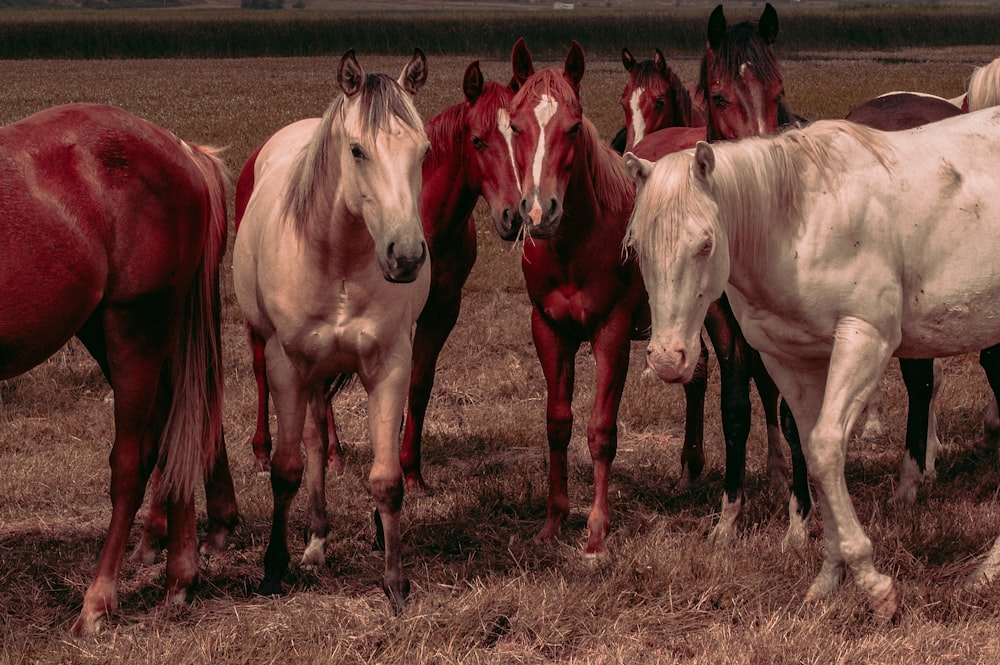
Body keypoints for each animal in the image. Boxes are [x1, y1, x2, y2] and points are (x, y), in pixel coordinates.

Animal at [0, 102, 229, 632]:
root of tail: (181, 150)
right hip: (107, 332)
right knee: (172, 435)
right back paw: (179, 578)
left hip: (135, 327)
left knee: (132, 461)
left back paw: (98, 601)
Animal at [232, 50, 432, 612]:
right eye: (358, 149)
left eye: (424, 151)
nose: (406, 256)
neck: (338, 256)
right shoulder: (287, 365)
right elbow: (287, 469)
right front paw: (273, 569)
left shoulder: (390, 365)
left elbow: (386, 480)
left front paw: (395, 583)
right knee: (314, 445)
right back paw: (314, 542)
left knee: (323, 440)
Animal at [624, 109, 1000, 616]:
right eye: (638, 248)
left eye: (704, 244)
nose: (667, 358)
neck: (798, 224)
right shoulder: (792, 360)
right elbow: (809, 448)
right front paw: (828, 576)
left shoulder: (865, 339)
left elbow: (823, 449)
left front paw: (874, 584)